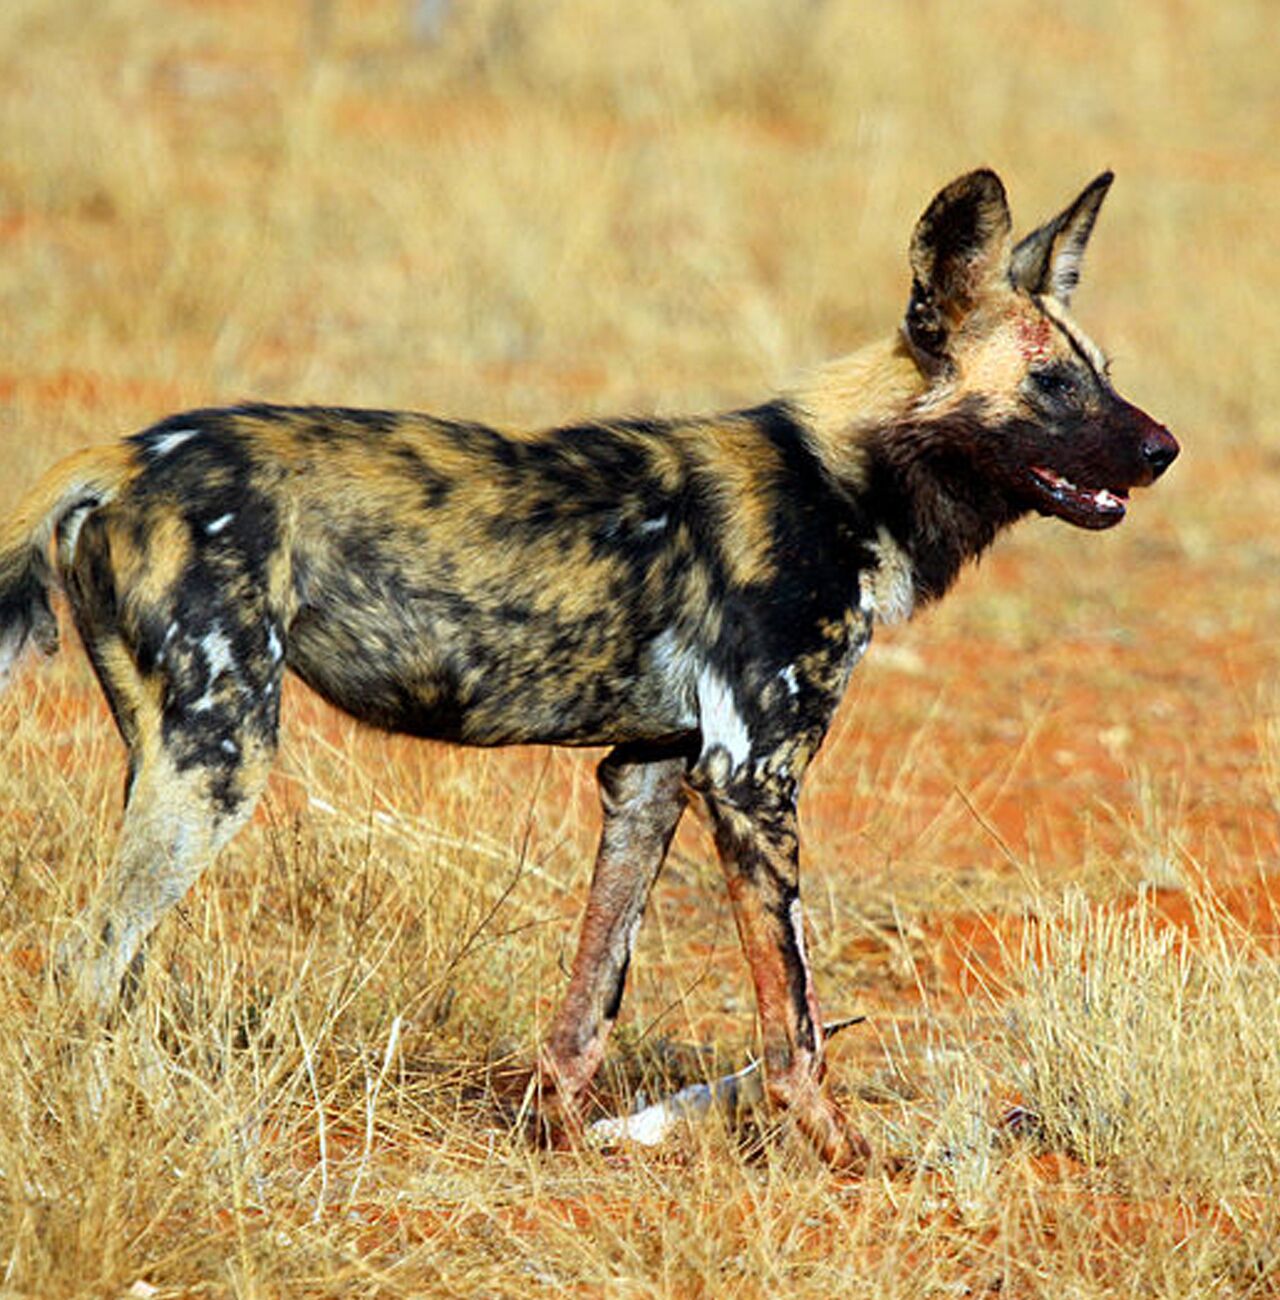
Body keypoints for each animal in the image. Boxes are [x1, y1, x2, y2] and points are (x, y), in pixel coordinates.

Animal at [0, 170, 1174, 1170]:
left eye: (1105, 375)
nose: (1163, 448)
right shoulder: (750, 780)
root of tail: (120, 455)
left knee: (110, 961)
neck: (849, 482)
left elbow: (591, 996)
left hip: (167, 751)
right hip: (223, 756)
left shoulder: (651, 773)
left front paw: (559, 1136)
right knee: (85, 961)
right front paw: (846, 1157)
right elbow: (794, 1025)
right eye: (1050, 384)